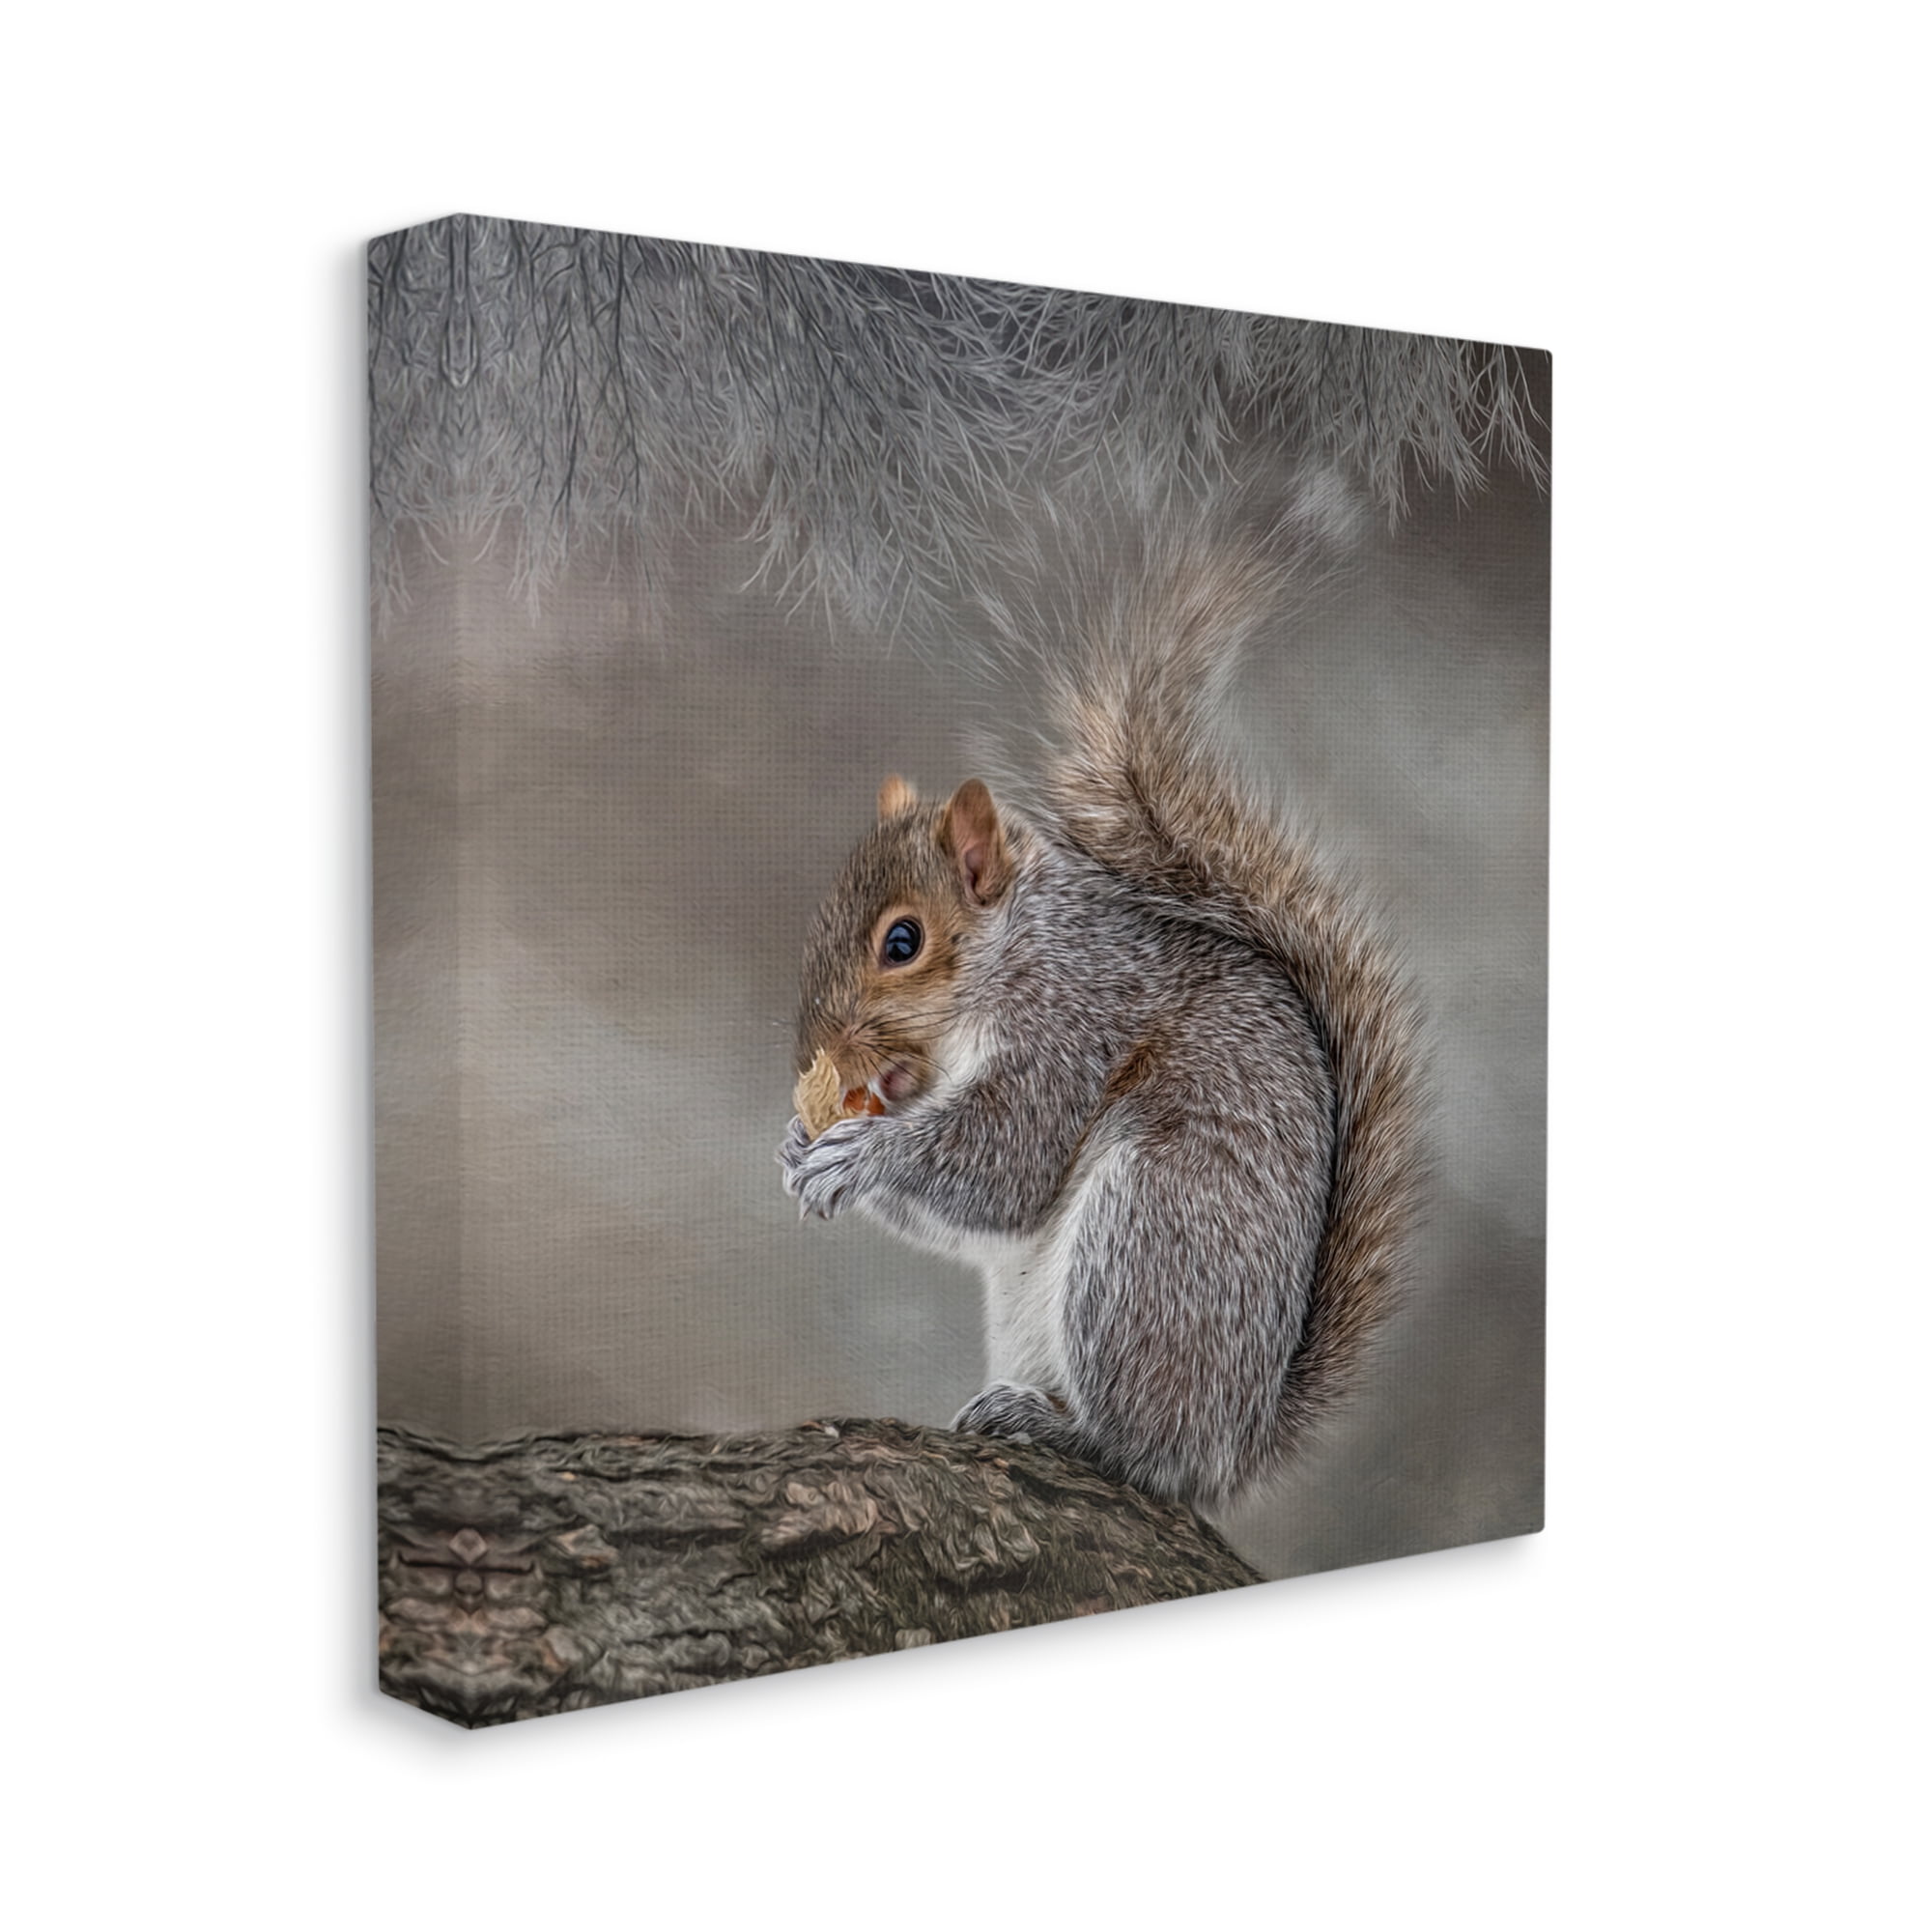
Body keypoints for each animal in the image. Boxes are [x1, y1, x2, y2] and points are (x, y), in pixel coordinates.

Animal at [778, 518, 1421, 1514]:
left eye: (902, 942)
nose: (814, 1051)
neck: (1019, 950)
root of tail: (1230, 1447)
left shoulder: (1073, 1026)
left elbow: (1008, 1165)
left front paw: (861, 1154)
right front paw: (795, 1146)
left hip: (1146, 1243)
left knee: (1139, 1452)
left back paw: (1061, 1429)